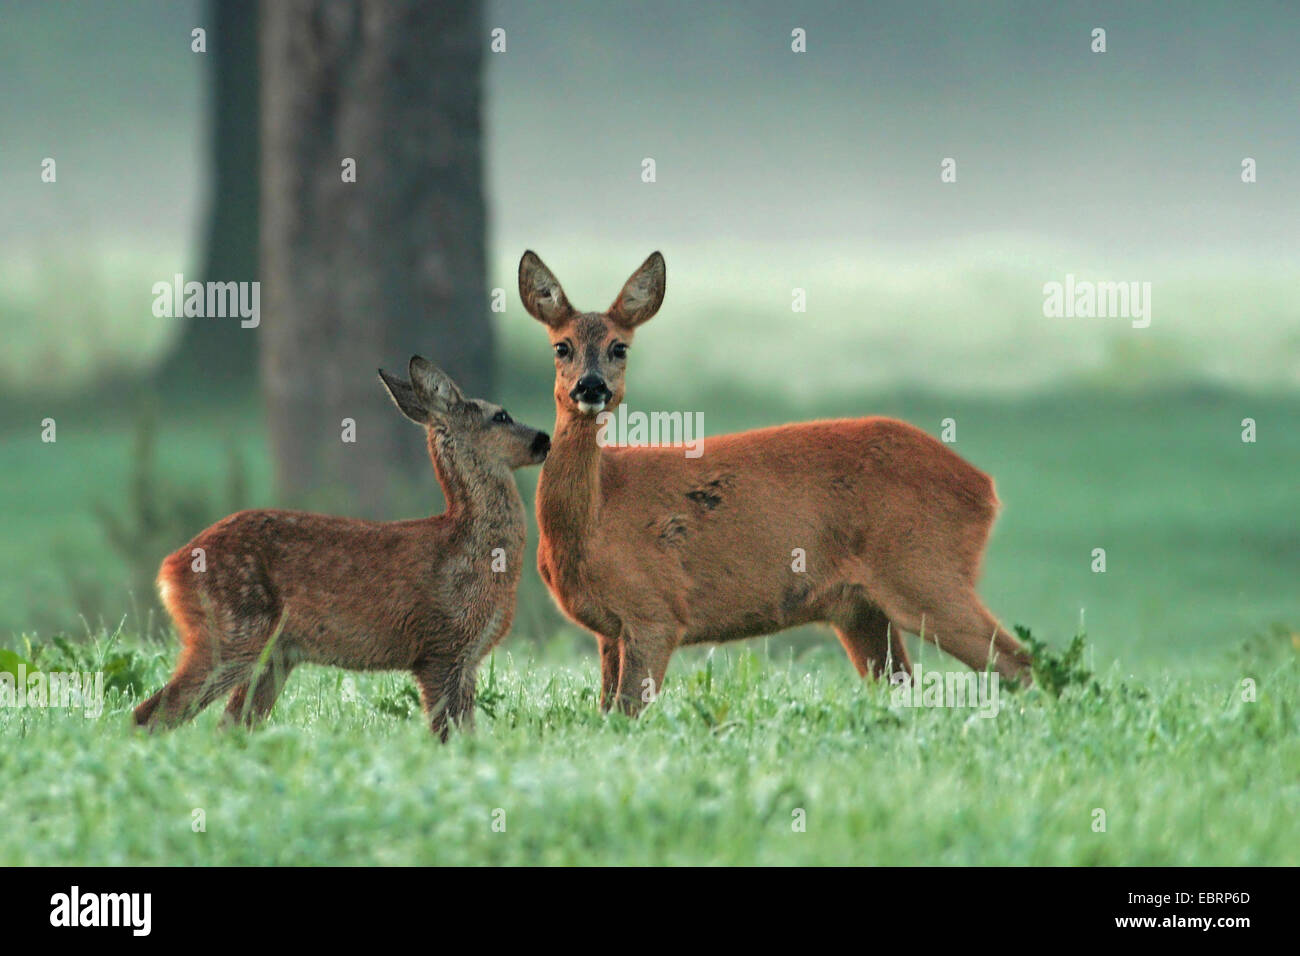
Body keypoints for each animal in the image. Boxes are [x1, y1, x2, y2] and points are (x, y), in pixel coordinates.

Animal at [133, 356, 550, 739]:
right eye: (500, 416)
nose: (545, 439)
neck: (473, 550)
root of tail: (169, 569)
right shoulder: (440, 647)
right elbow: (447, 734)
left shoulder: (465, 660)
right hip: (232, 630)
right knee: (152, 714)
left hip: (274, 654)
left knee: (230, 724)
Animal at [519, 250, 1033, 716]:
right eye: (561, 346)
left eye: (619, 347)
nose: (591, 386)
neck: (595, 517)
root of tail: (985, 489)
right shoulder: (609, 630)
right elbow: (605, 711)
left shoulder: (656, 609)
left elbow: (628, 710)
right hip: (862, 609)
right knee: (905, 683)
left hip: (925, 568)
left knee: (1018, 661)